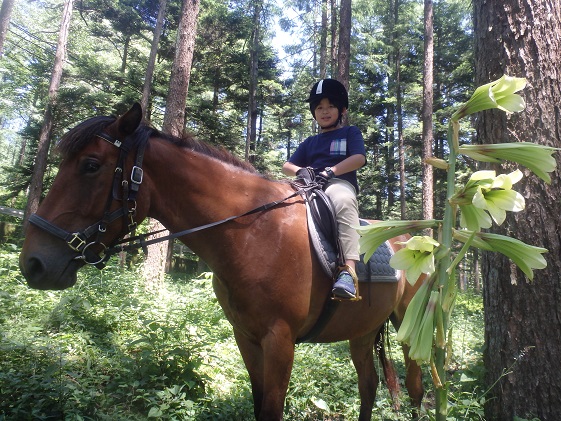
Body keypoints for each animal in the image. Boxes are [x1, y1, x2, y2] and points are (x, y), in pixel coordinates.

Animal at [18, 103, 424, 418]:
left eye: (90, 165)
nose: (33, 263)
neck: (253, 232)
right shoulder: (246, 336)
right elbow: (259, 406)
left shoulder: (280, 340)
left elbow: (272, 409)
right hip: (363, 330)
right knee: (369, 385)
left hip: (409, 325)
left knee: (416, 387)